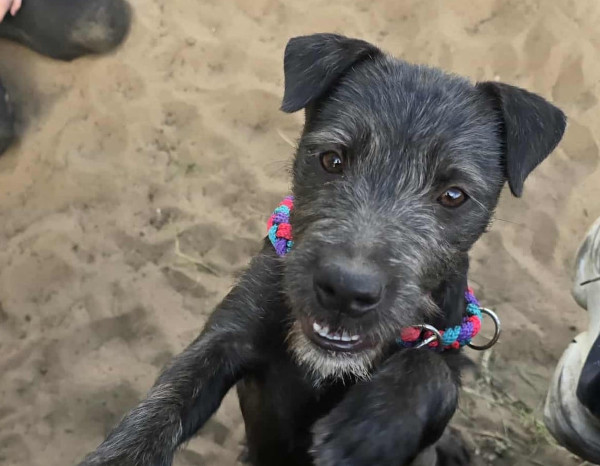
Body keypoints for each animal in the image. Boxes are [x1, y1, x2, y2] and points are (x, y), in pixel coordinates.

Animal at [78, 33, 566, 466]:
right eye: (332, 159)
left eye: (453, 195)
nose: (347, 291)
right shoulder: (227, 336)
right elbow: (164, 404)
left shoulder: (442, 345)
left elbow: (434, 370)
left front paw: (370, 426)